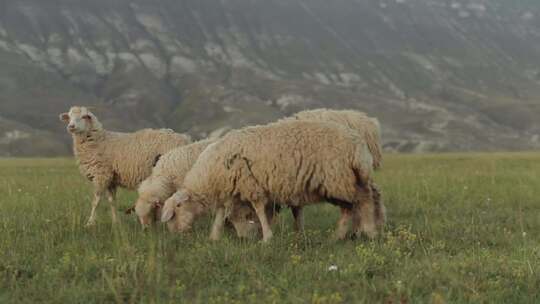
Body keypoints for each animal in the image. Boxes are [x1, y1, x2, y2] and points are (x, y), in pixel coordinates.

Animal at [57, 107, 190, 226]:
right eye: (69, 117)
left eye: (84, 116)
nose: (71, 126)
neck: (99, 140)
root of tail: (184, 138)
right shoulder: (110, 179)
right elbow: (112, 201)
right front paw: (116, 223)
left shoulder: (101, 175)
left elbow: (96, 201)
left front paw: (89, 223)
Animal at [160, 120, 380, 242]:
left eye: (175, 212)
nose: (175, 236)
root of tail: (358, 144)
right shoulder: (229, 191)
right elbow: (221, 215)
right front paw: (214, 237)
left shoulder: (251, 186)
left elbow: (259, 211)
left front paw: (266, 238)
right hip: (339, 183)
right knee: (349, 208)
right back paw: (338, 236)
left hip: (340, 178)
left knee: (365, 200)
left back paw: (369, 231)